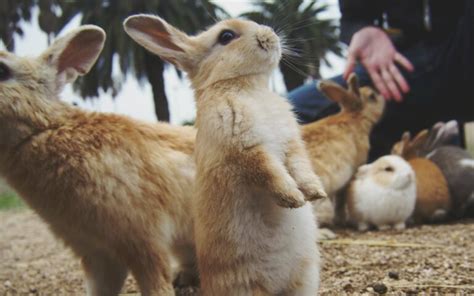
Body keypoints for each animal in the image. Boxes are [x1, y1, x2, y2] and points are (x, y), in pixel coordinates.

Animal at [124, 13, 328, 294]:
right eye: (226, 36)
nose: (270, 35)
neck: (245, 86)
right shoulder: (245, 148)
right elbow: (270, 172)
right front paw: (293, 199)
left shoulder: (291, 144)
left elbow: (300, 167)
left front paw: (315, 193)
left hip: (304, 280)